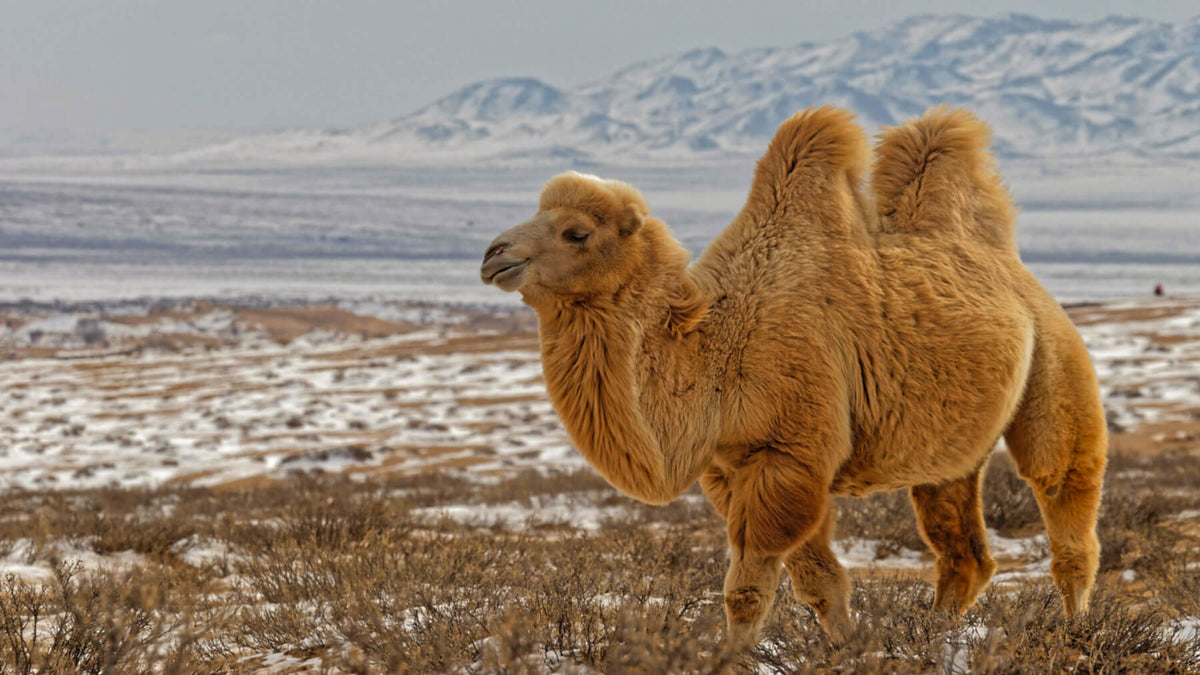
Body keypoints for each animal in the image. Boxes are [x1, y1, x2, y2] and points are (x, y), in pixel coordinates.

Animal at [475, 106, 1104, 648]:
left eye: (576, 232)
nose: (493, 254)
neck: (717, 350)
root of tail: (1014, 268)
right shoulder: (735, 468)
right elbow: (820, 582)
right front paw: (850, 650)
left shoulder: (789, 454)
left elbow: (749, 589)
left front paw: (733, 657)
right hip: (949, 447)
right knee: (962, 548)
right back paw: (933, 637)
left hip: (1056, 359)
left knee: (1063, 491)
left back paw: (1075, 630)